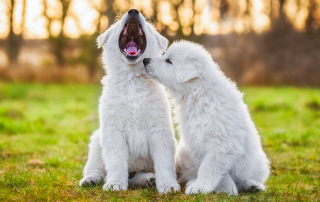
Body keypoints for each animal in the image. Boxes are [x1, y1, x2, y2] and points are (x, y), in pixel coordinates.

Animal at [78, 9, 180, 194]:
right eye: (119, 23)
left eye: (147, 26)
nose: (133, 11)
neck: (132, 81)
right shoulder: (113, 131)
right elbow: (116, 162)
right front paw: (115, 184)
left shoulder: (160, 131)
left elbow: (164, 162)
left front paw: (168, 185)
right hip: (96, 141)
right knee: (96, 168)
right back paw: (91, 179)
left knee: (135, 177)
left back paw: (147, 179)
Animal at [143, 40, 270, 194]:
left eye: (169, 61)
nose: (145, 60)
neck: (198, 95)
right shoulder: (197, 142)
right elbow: (216, 172)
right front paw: (225, 189)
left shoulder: (222, 144)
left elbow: (210, 168)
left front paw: (200, 187)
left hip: (257, 164)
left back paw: (253, 185)